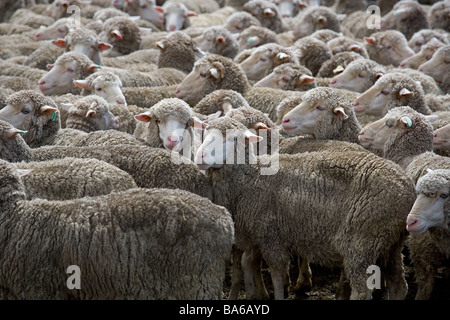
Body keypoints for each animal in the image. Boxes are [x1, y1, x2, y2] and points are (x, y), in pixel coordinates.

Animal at [195, 117, 416, 300]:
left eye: (233, 138)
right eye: (205, 134)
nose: (200, 156)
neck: (252, 175)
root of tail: (407, 189)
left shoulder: (271, 236)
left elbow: (277, 276)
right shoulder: (256, 236)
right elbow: (247, 263)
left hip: (363, 241)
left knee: (362, 291)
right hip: (390, 244)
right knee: (399, 286)